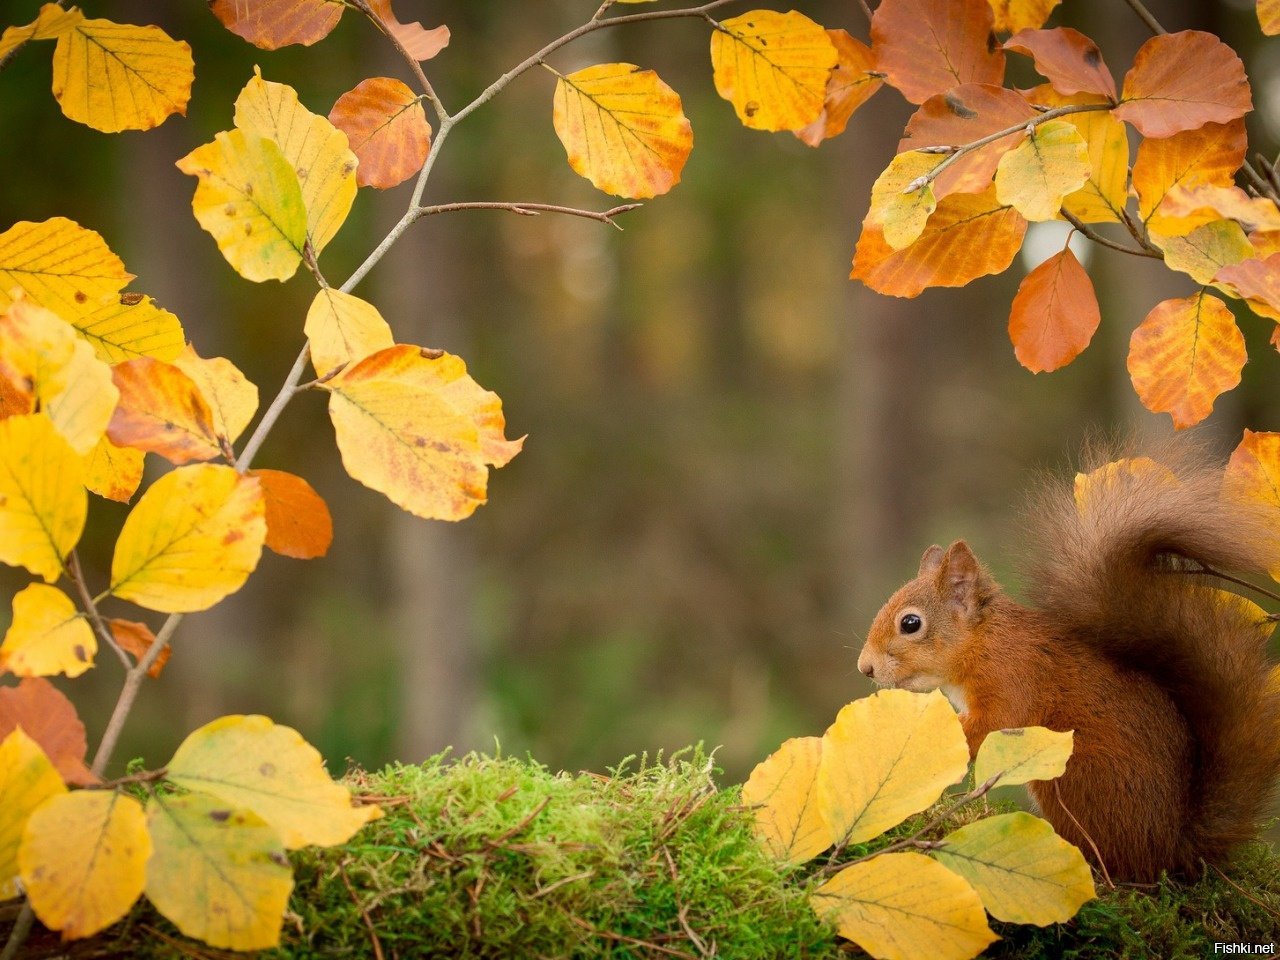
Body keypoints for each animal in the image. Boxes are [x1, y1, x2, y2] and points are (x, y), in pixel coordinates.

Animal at [855, 448, 1280, 885]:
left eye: (910, 624)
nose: (864, 668)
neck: (984, 642)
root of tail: (1172, 850)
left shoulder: (1014, 677)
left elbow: (990, 725)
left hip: (1074, 777)